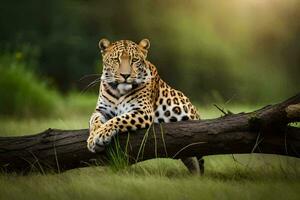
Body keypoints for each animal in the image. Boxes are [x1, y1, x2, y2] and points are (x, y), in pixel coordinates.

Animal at [86, 38, 204, 174]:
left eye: (134, 60)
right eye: (116, 60)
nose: (125, 75)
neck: (119, 91)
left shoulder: (143, 111)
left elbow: (117, 120)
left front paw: (100, 135)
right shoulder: (101, 110)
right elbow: (94, 120)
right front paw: (92, 139)